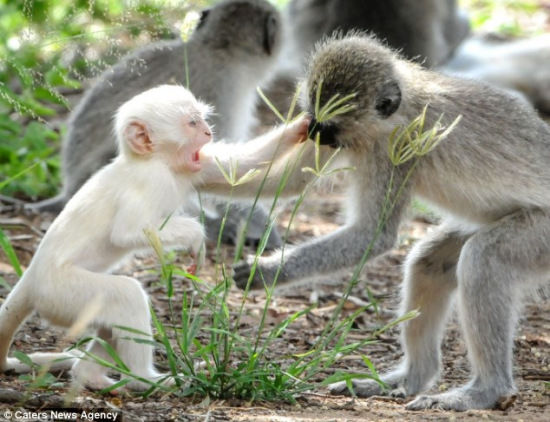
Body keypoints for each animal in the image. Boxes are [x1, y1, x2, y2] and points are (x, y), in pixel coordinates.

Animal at [0, 85, 310, 392]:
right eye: (192, 123)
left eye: (201, 119)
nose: (207, 132)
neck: (155, 160)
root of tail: (32, 275)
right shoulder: (150, 179)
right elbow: (127, 232)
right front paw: (196, 237)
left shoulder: (191, 168)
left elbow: (241, 169)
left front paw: (302, 127)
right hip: (59, 294)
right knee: (125, 296)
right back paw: (145, 379)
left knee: (109, 321)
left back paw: (91, 376)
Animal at [233, 34, 550, 410]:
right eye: (314, 116)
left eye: (329, 125)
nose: (312, 132)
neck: (404, 107)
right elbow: (281, 179)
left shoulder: (395, 150)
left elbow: (372, 235)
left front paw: (269, 271)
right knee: (429, 262)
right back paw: (411, 378)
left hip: (543, 235)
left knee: (484, 260)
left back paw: (486, 390)